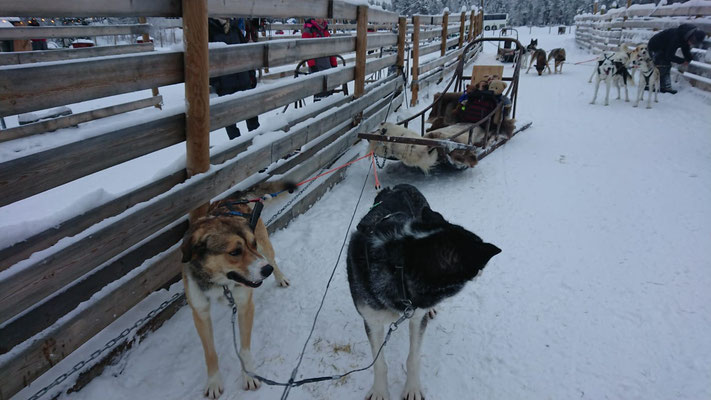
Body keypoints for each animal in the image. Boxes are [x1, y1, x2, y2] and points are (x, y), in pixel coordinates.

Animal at [184, 183, 298, 398]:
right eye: (235, 252)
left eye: (251, 244)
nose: (266, 271)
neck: (221, 283)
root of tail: (235, 197)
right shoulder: (200, 313)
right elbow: (210, 353)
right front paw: (214, 381)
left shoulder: (245, 305)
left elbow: (244, 349)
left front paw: (249, 375)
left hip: (265, 246)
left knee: (272, 258)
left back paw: (280, 277)